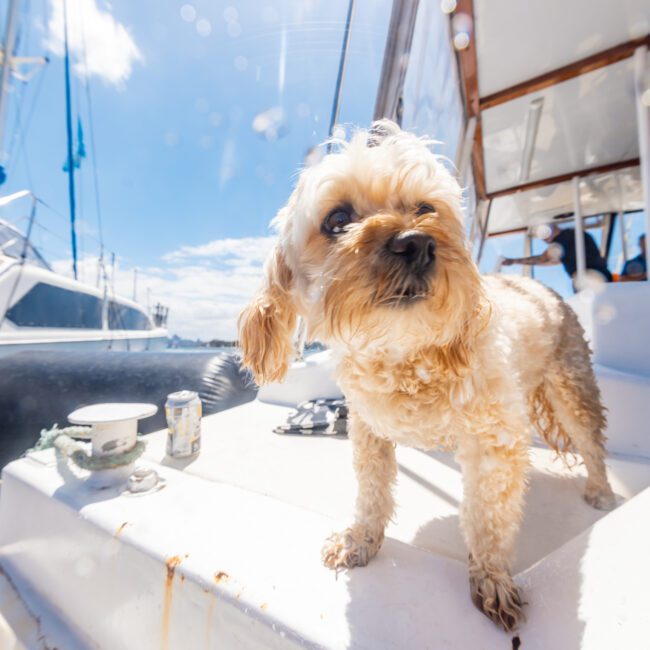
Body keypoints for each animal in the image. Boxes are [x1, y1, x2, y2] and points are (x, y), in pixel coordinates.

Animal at [237, 120, 612, 628]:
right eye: (337, 220)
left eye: (425, 208)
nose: (415, 242)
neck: (406, 353)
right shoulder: (368, 431)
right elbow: (372, 493)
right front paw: (360, 540)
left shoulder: (495, 442)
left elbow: (488, 518)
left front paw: (491, 578)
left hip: (571, 386)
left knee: (591, 442)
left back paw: (601, 491)